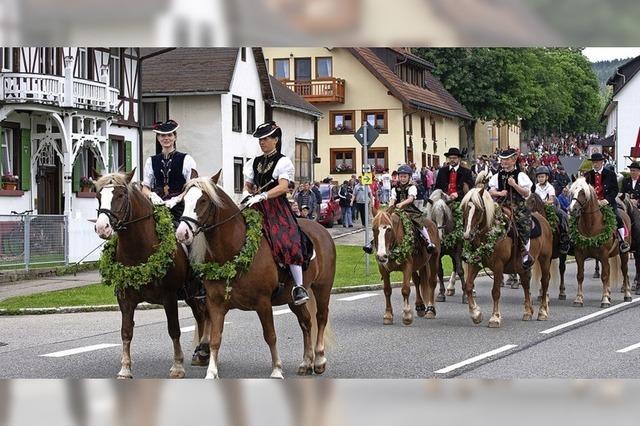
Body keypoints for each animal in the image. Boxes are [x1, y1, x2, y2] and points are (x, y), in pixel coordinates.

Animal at [94, 171, 209, 380]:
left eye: (121, 195)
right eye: (99, 195)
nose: (102, 227)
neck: (140, 250)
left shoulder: (169, 297)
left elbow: (174, 330)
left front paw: (177, 367)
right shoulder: (125, 298)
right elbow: (126, 332)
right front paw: (125, 369)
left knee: (206, 315)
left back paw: (204, 350)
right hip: (190, 294)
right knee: (200, 316)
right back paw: (201, 353)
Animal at [174, 174, 336, 380]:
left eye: (203, 200)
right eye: (184, 200)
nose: (182, 233)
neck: (234, 250)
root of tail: (321, 229)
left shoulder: (263, 303)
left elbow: (270, 336)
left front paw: (276, 369)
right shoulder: (215, 304)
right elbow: (215, 339)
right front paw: (211, 372)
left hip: (323, 287)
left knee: (321, 318)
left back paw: (320, 360)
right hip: (293, 299)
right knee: (306, 322)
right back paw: (306, 362)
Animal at [460, 186, 556, 326]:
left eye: (478, 210)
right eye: (463, 208)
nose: (468, 235)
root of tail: (544, 220)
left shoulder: (498, 266)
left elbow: (495, 291)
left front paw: (495, 317)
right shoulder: (475, 263)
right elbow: (468, 286)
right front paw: (476, 314)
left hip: (545, 259)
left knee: (544, 281)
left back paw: (542, 312)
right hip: (522, 265)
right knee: (525, 283)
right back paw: (528, 312)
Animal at [568, 178, 632, 308]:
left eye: (583, 192)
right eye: (572, 191)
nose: (572, 210)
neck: (590, 225)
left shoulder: (603, 255)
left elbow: (604, 276)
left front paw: (605, 300)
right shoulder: (579, 255)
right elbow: (580, 276)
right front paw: (578, 299)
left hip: (623, 253)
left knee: (624, 270)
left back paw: (627, 294)